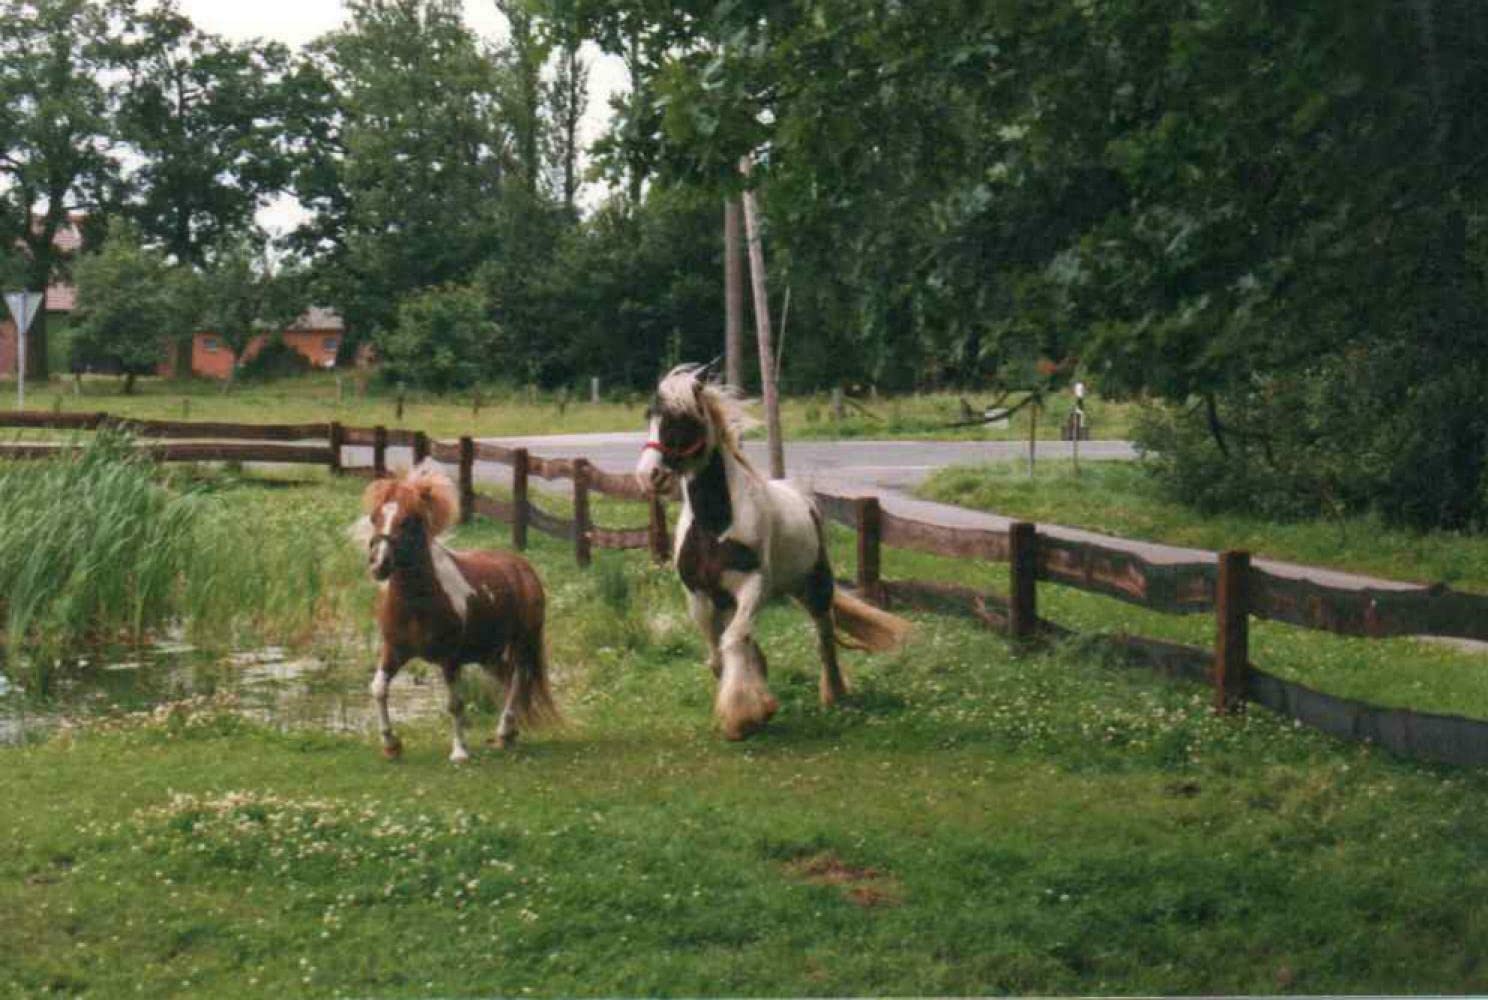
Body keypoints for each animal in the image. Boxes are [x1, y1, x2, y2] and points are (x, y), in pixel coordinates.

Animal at [354, 462, 557, 762]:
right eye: (375, 517)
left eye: (407, 520)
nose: (379, 565)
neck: (418, 603)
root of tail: (522, 567)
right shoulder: (394, 651)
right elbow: (378, 689)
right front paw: (391, 744)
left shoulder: (449, 659)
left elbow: (454, 703)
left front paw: (459, 751)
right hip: (489, 653)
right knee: (510, 678)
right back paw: (507, 734)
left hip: (522, 642)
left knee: (519, 678)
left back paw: (503, 731)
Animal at [635, 363, 911, 739]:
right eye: (650, 415)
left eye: (684, 418)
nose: (649, 476)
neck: (715, 525)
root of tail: (803, 496)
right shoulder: (699, 595)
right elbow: (719, 653)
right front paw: (754, 704)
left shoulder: (753, 587)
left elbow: (734, 641)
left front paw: (744, 716)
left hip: (815, 587)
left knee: (824, 636)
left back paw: (834, 694)